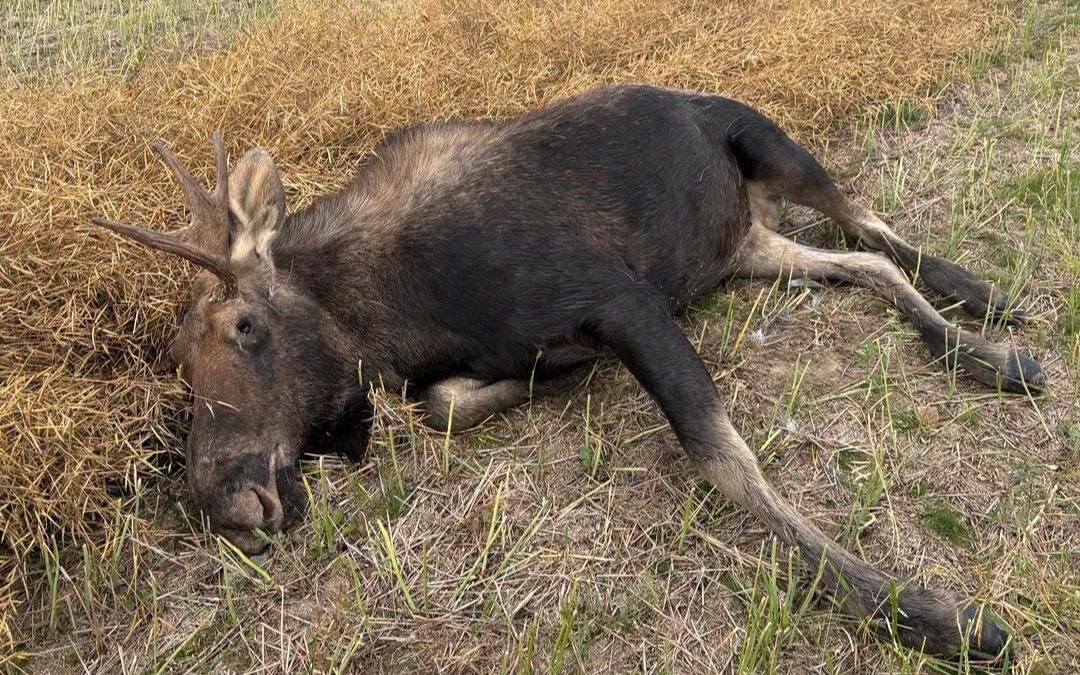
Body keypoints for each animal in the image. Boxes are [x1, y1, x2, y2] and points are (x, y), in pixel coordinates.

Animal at [92, 84, 1042, 662]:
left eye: (245, 326)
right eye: (177, 360)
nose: (221, 496)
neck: (399, 308)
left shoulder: (620, 296)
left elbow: (724, 459)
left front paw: (930, 613)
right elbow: (443, 403)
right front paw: (544, 374)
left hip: (775, 149)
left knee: (871, 223)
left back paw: (989, 311)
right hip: (740, 247)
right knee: (865, 265)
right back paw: (978, 349)